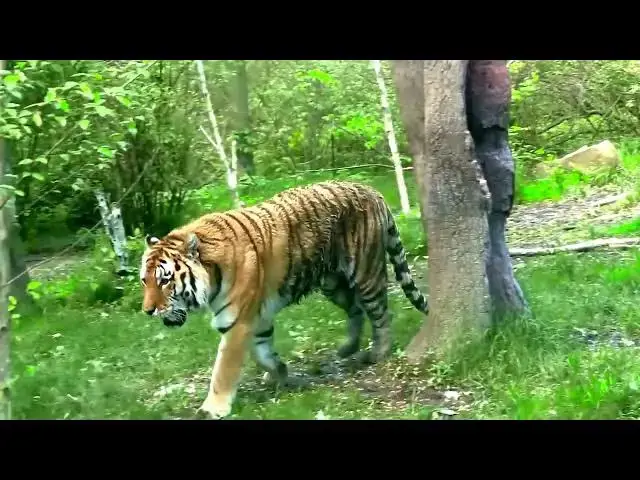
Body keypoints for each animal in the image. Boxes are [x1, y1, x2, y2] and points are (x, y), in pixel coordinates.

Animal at [139, 180, 429, 419]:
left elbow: (223, 370)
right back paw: (348, 348)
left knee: (381, 313)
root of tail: (372, 190)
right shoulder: (257, 319)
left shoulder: (236, 322)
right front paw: (279, 373)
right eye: (145, 280)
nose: (147, 311)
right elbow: (263, 352)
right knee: (355, 309)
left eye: (165, 280)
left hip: (365, 272)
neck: (212, 276)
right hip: (332, 283)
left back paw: (378, 352)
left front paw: (212, 409)